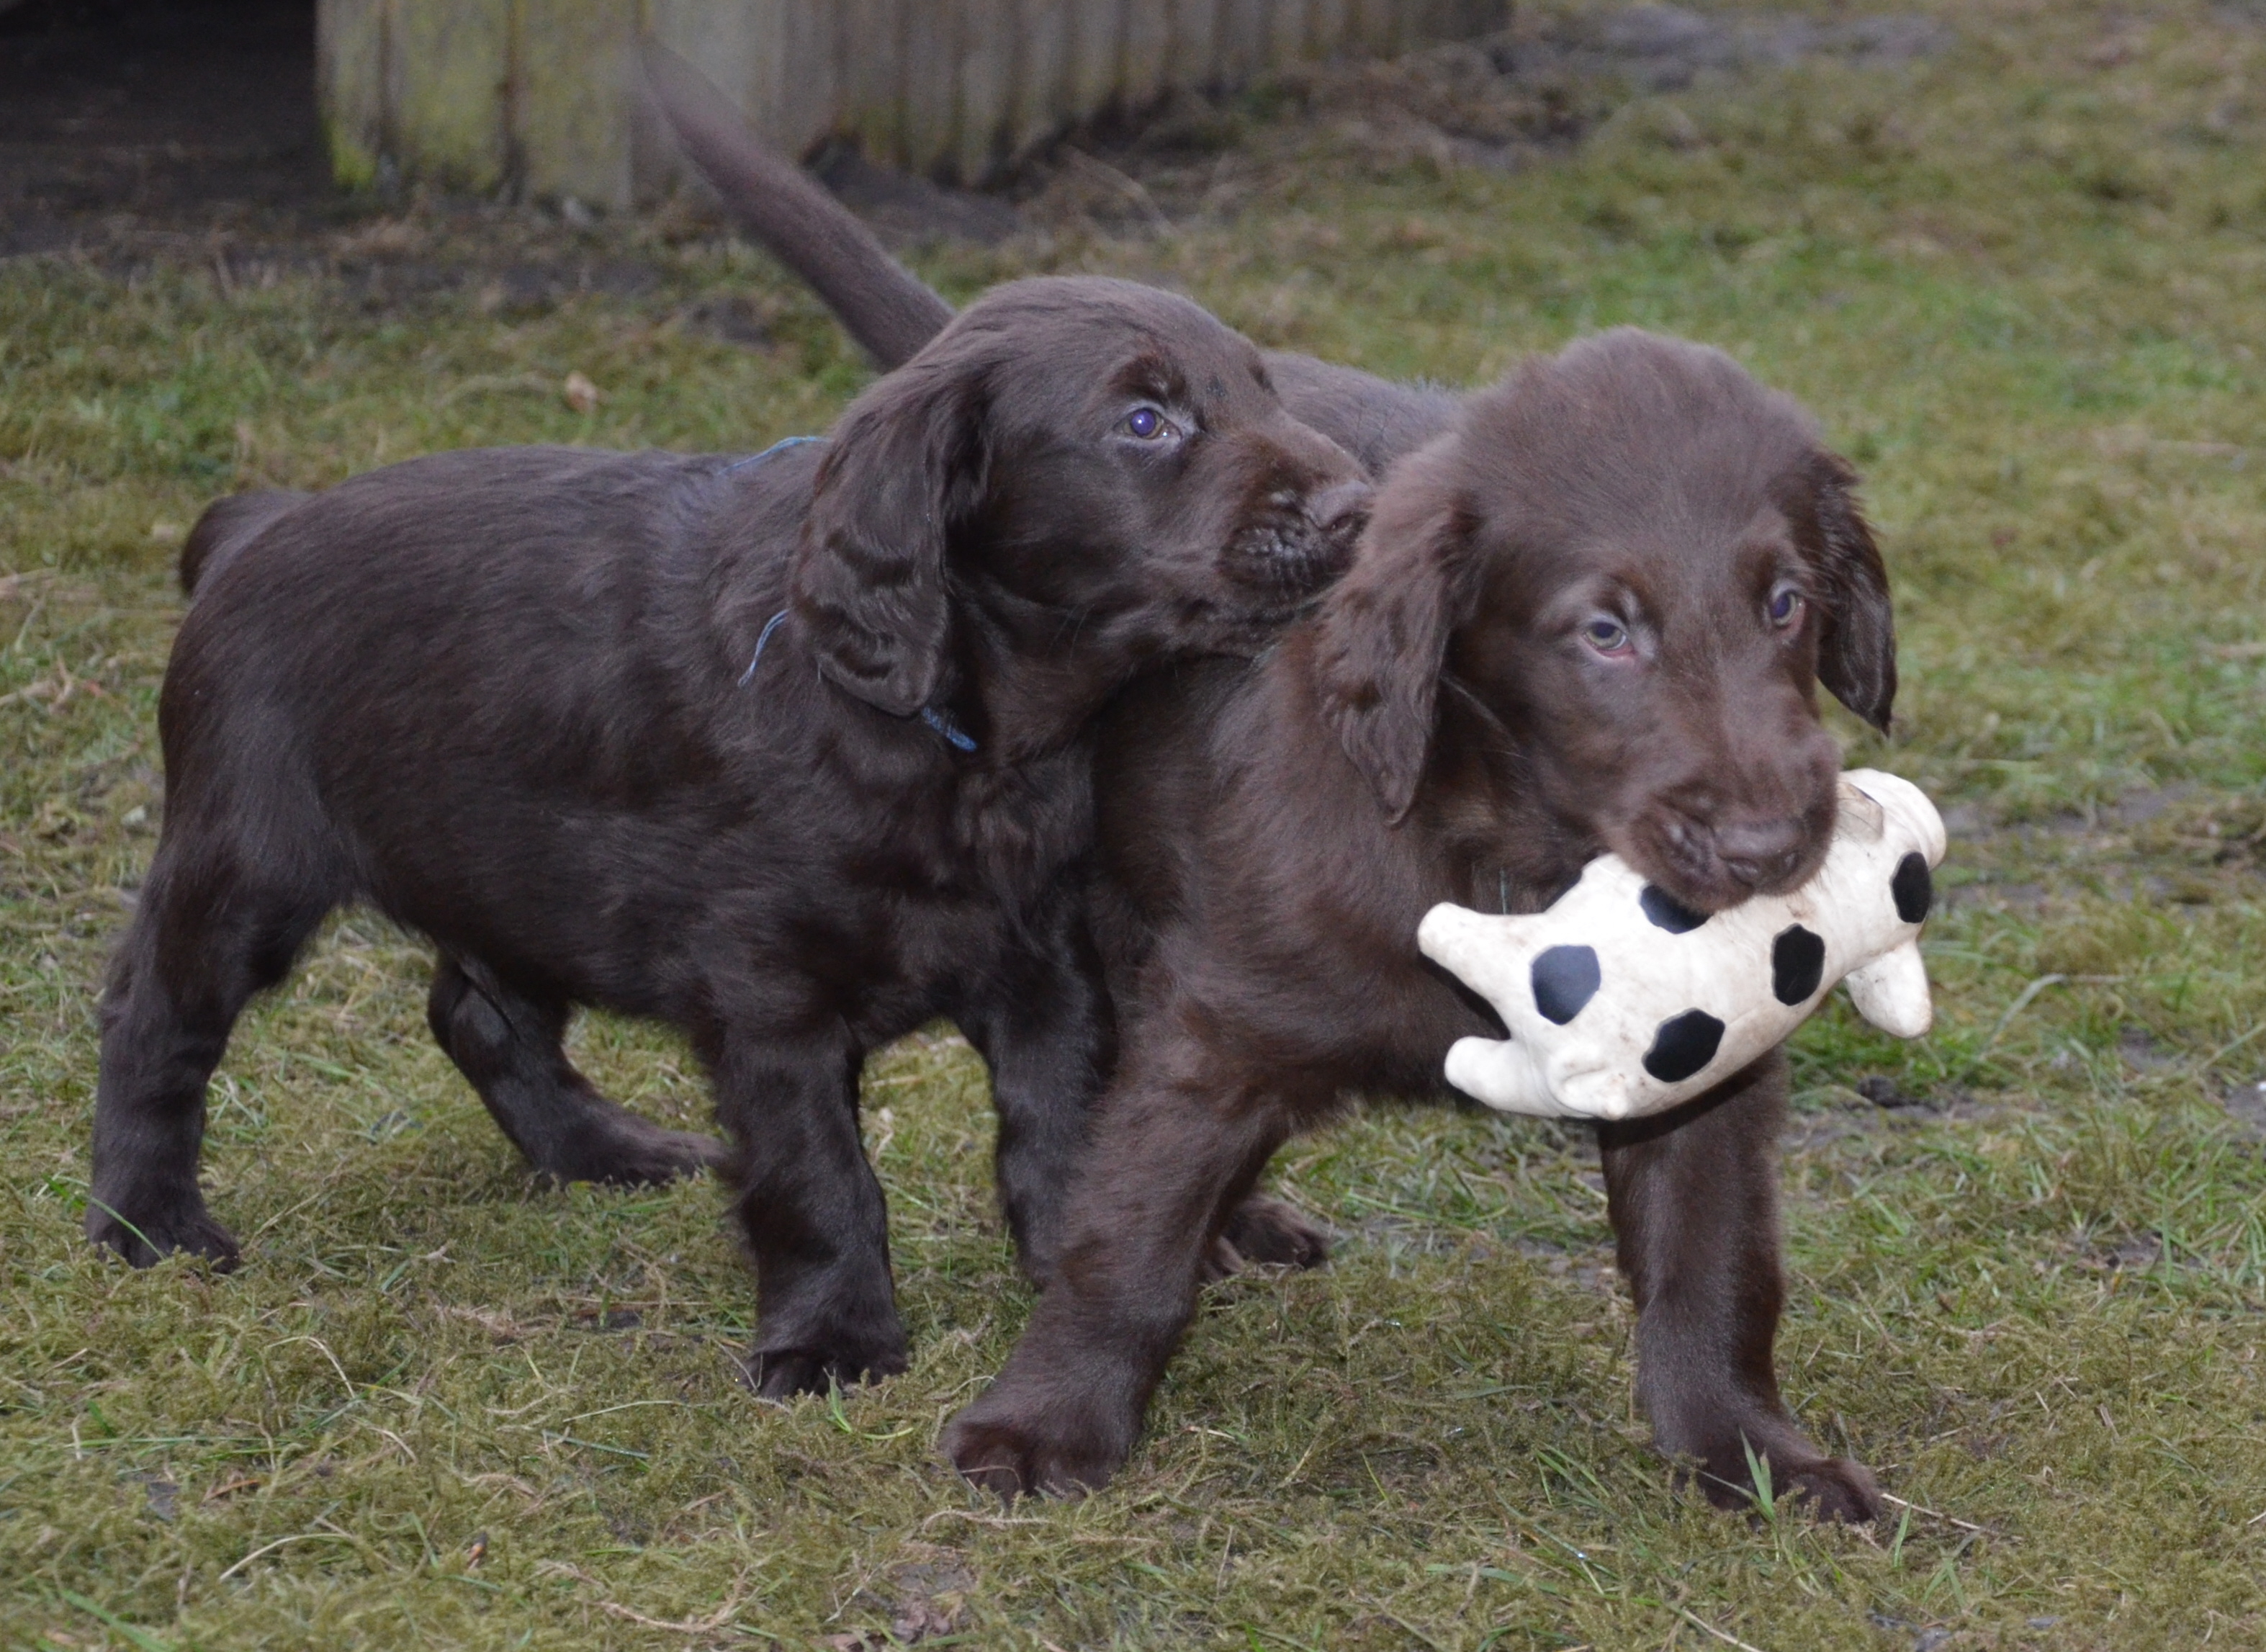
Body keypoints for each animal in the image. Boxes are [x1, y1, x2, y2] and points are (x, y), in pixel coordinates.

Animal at [84, 277, 1359, 1396]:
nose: (1353, 505)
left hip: (514, 870)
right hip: (247, 864)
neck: (960, 733)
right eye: (1144, 421)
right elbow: (820, 1178)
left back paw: (606, 1150)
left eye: (1259, 387)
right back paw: (148, 1223)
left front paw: (1067, 1283)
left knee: (476, 1015)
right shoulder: (764, 993)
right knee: (154, 1018)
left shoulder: (1041, 964)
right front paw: (833, 1340)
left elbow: (1060, 1130)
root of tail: (257, 527)